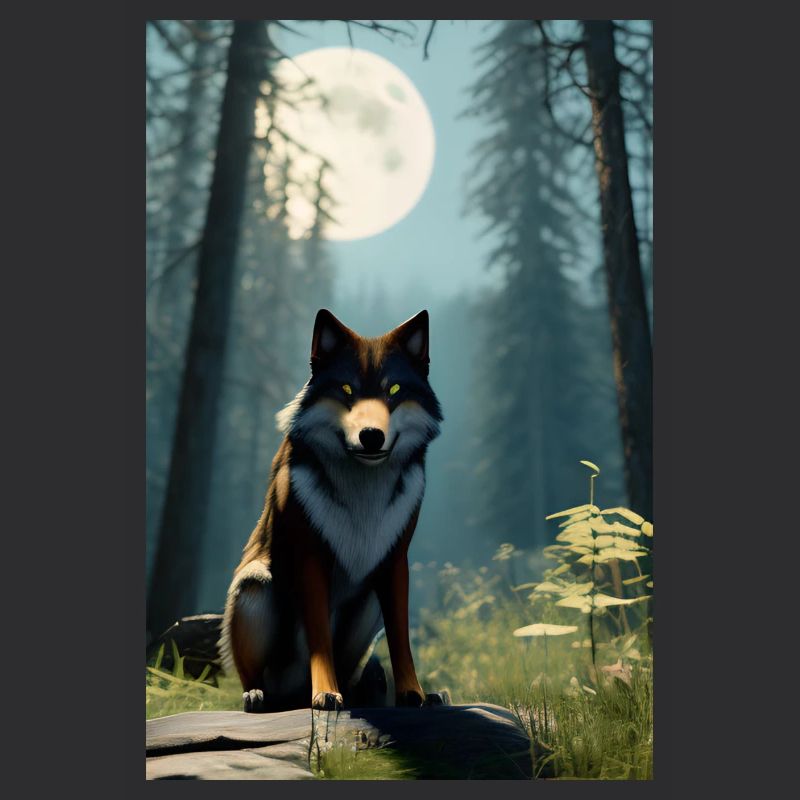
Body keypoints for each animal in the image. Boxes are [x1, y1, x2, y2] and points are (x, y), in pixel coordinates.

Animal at [218, 308, 443, 711]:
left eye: (394, 391)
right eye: (347, 390)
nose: (371, 436)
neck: (363, 489)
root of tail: (289, 691)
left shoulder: (394, 561)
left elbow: (401, 637)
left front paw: (413, 694)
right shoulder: (310, 558)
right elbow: (319, 635)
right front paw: (325, 693)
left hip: (368, 602)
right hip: (255, 587)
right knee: (255, 675)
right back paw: (258, 695)